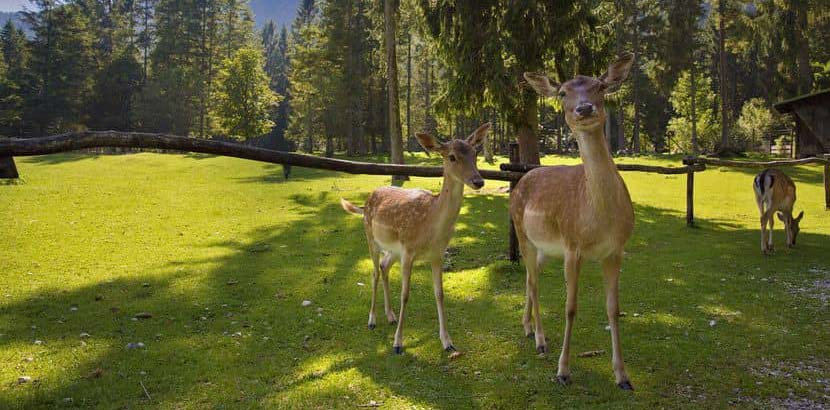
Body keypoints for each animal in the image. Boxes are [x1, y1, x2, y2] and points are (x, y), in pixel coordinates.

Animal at [342, 123, 490, 354]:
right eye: (452, 157)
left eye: (475, 153)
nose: (478, 181)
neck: (431, 227)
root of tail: (364, 204)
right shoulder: (409, 251)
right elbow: (405, 295)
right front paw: (397, 343)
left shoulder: (437, 254)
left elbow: (440, 294)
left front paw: (447, 341)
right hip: (371, 238)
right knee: (374, 272)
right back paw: (372, 320)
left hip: (393, 250)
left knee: (384, 266)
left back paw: (391, 316)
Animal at [516, 54, 640, 390]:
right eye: (562, 93)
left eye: (600, 86)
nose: (584, 108)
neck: (599, 221)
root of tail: (522, 177)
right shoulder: (573, 247)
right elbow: (571, 308)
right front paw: (563, 371)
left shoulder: (616, 250)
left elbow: (614, 310)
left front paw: (623, 376)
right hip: (522, 234)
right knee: (533, 283)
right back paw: (541, 340)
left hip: (545, 249)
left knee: (530, 279)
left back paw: (527, 327)